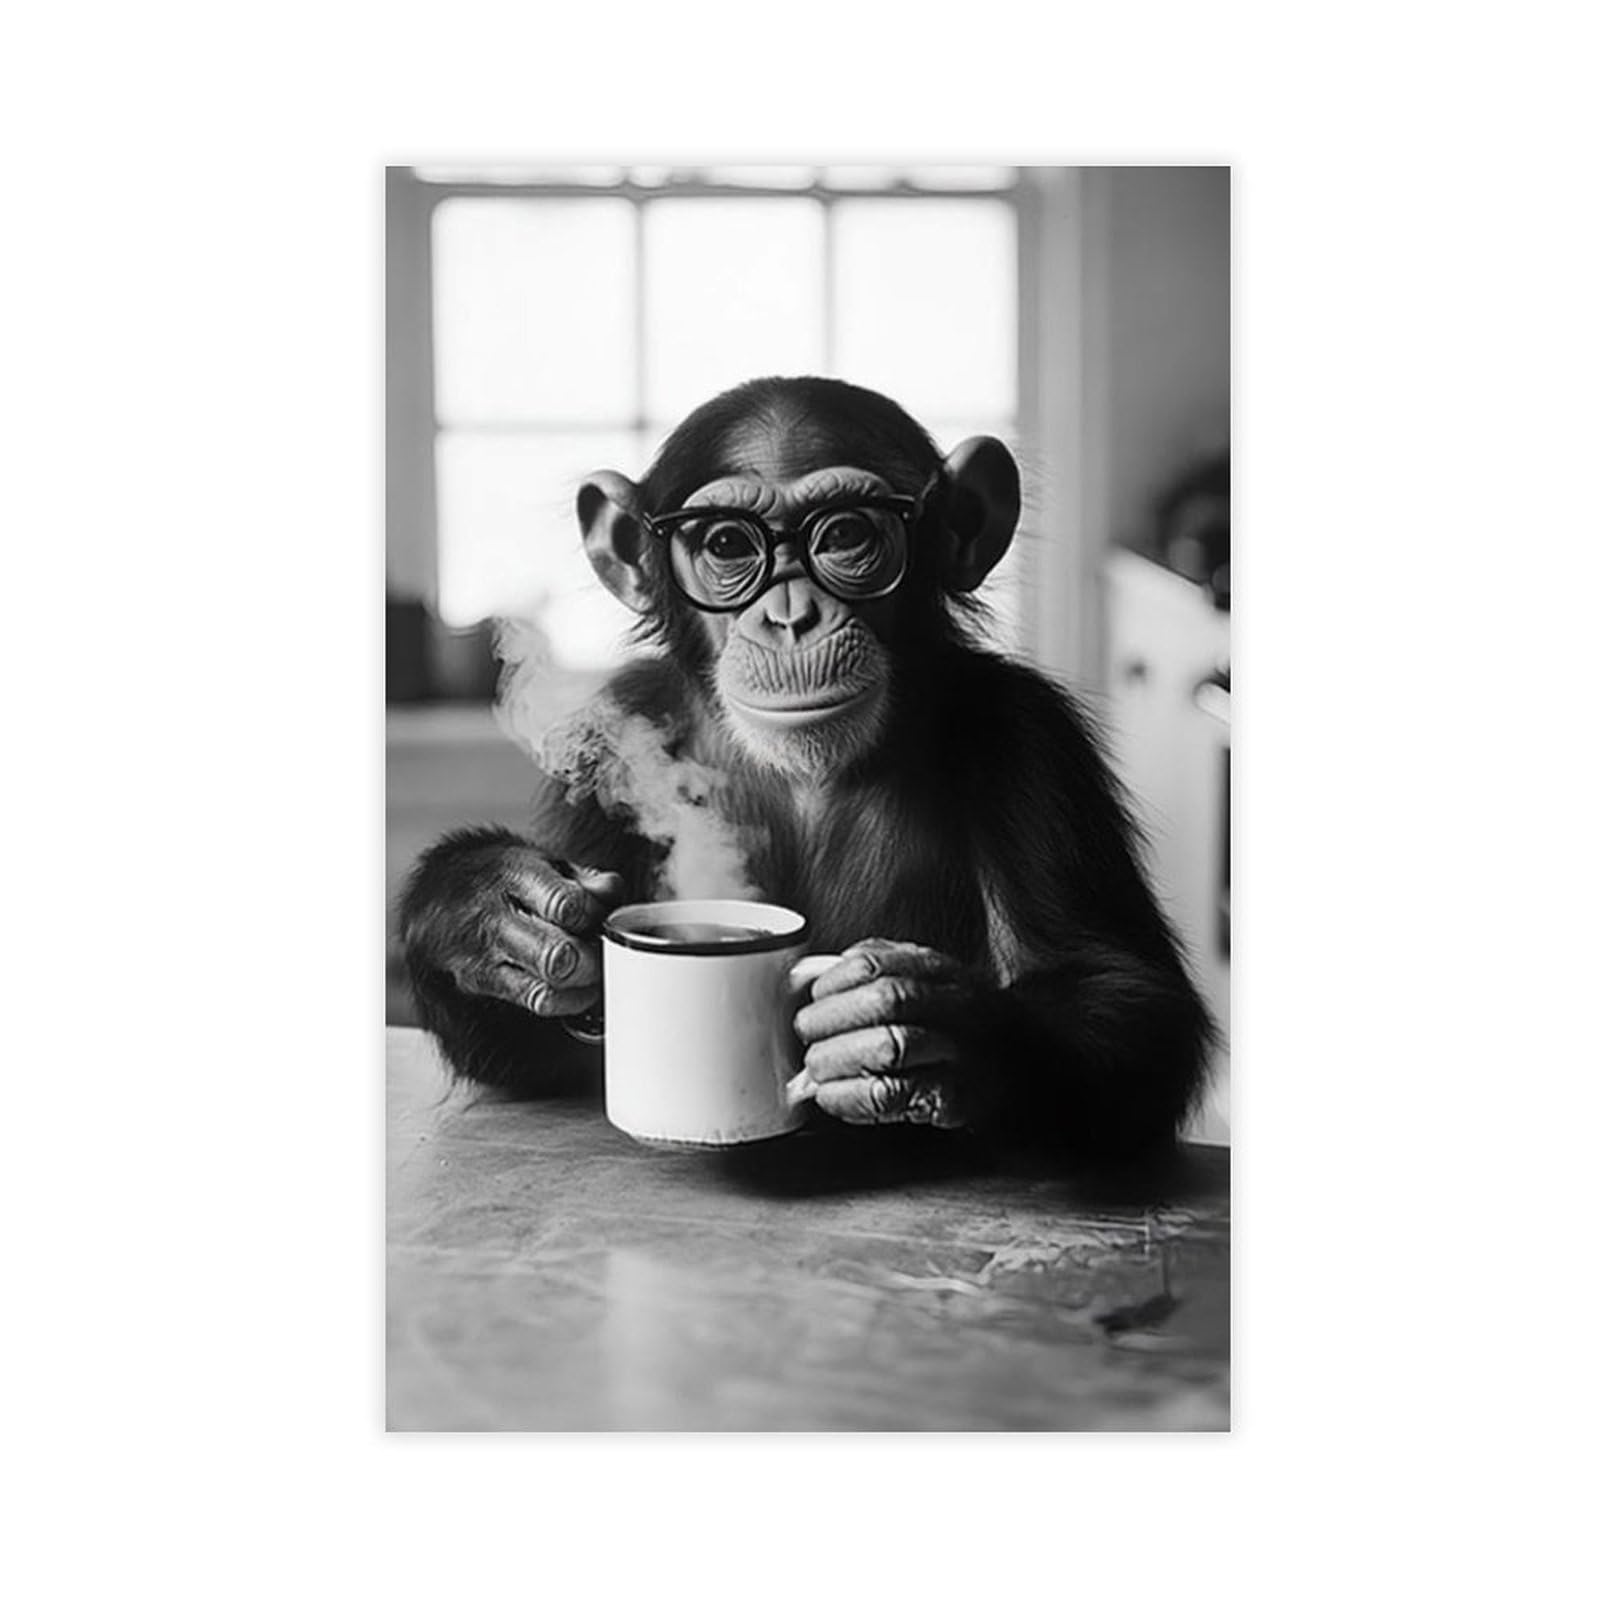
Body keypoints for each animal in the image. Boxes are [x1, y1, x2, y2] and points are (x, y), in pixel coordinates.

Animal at [400, 376, 1214, 1162]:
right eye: (728, 544)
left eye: (846, 533)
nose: (792, 617)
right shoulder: (611, 737)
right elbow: (544, 1054)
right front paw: (489, 909)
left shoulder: (1031, 740)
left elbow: (1122, 994)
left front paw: (925, 1023)